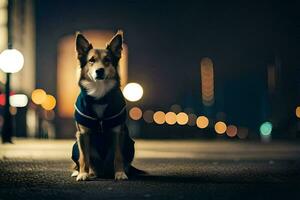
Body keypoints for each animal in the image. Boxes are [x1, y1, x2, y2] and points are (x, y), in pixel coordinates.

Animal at [70, 30, 141, 181]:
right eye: (91, 60)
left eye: (107, 60)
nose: (100, 70)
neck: (100, 96)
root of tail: (102, 171)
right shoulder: (82, 134)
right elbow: (84, 157)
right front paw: (83, 174)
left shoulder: (118, 132)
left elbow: (118, 156)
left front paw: (120, 173)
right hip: (75, 146)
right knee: (83, 161)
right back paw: (85, 172)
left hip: (129, 144)